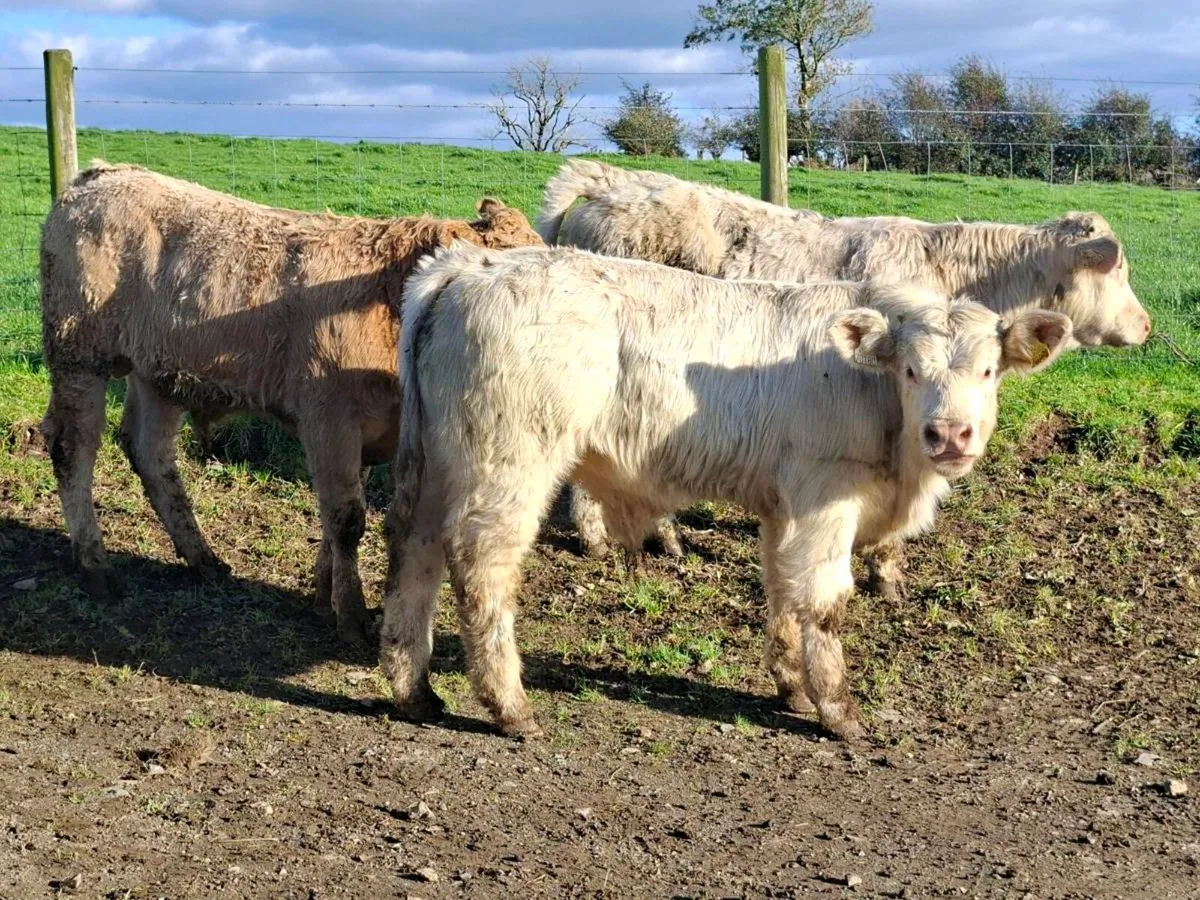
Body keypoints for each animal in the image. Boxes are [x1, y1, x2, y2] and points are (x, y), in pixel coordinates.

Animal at [39, 161, 542, 642]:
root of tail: (98, 176)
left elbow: (334, 518)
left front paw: (323, 597)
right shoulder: (329, 420)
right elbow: (346, 519)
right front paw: (352, 616)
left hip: (157, 374)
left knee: (149, 452)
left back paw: (203, 558)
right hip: (78, 355)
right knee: (73, 450)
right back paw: (94, 565)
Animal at [379, 244, 1073, 739]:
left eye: (989, 370)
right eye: (909, 370)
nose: (949, 433)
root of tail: (471, 264)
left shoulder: (785, 508)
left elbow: (783, 591)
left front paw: (792, 687)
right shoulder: (826, 497)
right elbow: (823, 601)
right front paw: (839, 711)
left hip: (436, 465)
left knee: (413, 551)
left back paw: (413, 689)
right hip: (510, 465)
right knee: (481, 568)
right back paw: (510, 706)